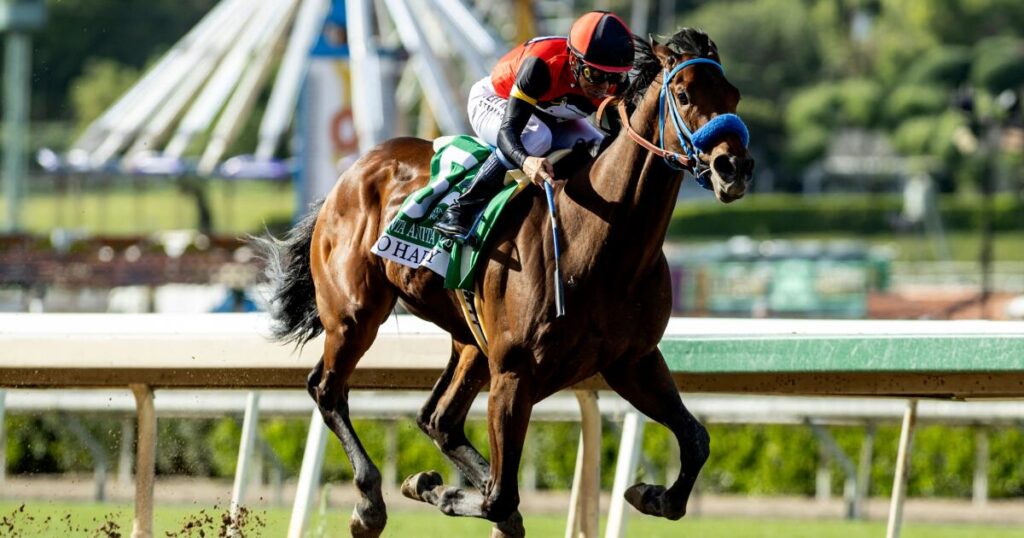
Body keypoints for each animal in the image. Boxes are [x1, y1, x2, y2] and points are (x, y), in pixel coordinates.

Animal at [258, 28, 753, 538]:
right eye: (684, 95)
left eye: (733, 95)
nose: (733, 168)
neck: (603, 241)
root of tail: (354, 171)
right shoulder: (516, 372)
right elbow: (499, 496)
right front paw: (437, 489)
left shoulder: (633, 362)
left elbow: (696, 440)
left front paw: (651, 494)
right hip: (355, 314)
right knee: (327, 389)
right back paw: (370, 502)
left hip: (471, 341)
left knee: (438, 419)